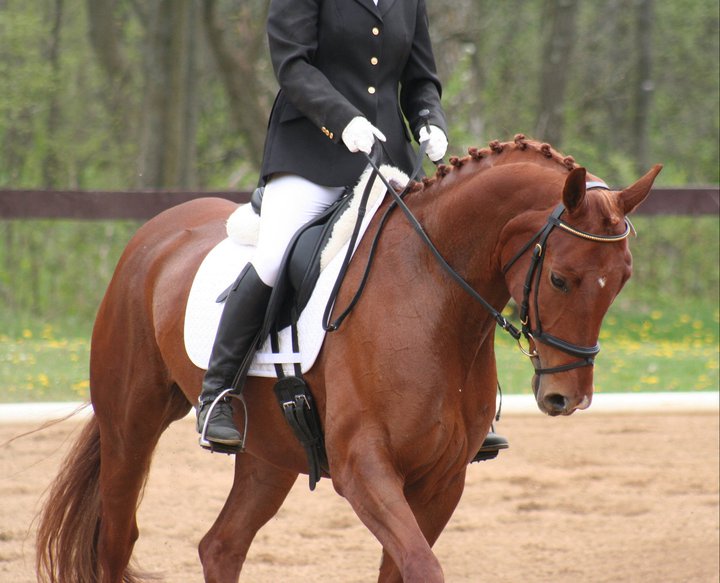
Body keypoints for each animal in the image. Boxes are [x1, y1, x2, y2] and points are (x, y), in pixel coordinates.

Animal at [35, 136, 661, 583]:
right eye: (559, 278)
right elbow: (422, 567)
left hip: (269, 453)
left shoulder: (442, 479)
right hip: (131, 425)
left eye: (622, 279)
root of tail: (153, 235)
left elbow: (403, 568)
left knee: (220, 546)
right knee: (117, 542)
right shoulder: (365, 469)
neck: (432, 297)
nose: (566, 396)